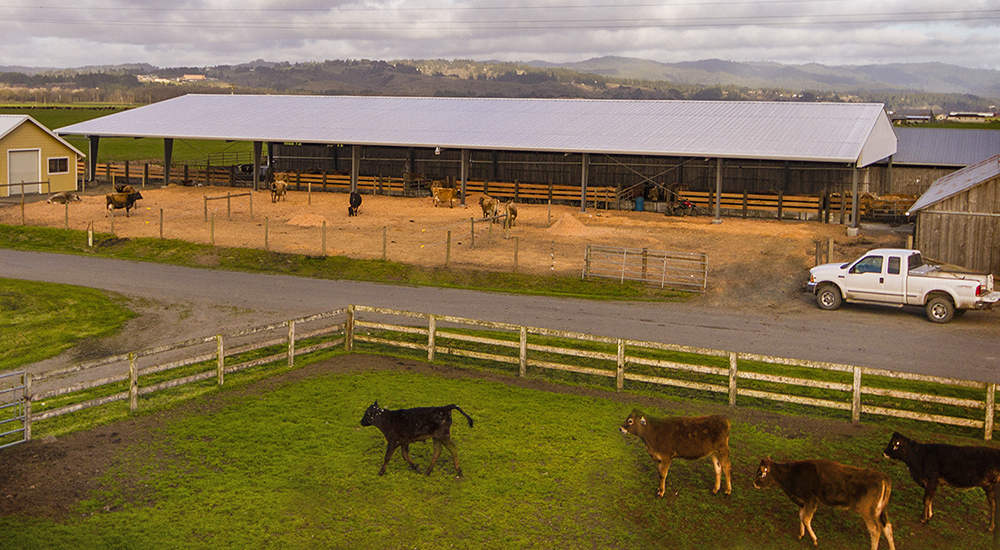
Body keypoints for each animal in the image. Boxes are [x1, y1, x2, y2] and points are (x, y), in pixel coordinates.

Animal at [752, 458, 896, 550]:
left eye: (760, 473)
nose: (754, 484)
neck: (792, 474)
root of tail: (883, 477)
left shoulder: (811, 500)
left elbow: (805, 518)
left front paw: (814, 540)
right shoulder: (804, 502)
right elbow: (801, 515)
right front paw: (801, 534)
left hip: (867, 511)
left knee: (875, 530)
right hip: (880, 511)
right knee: (887, 526)